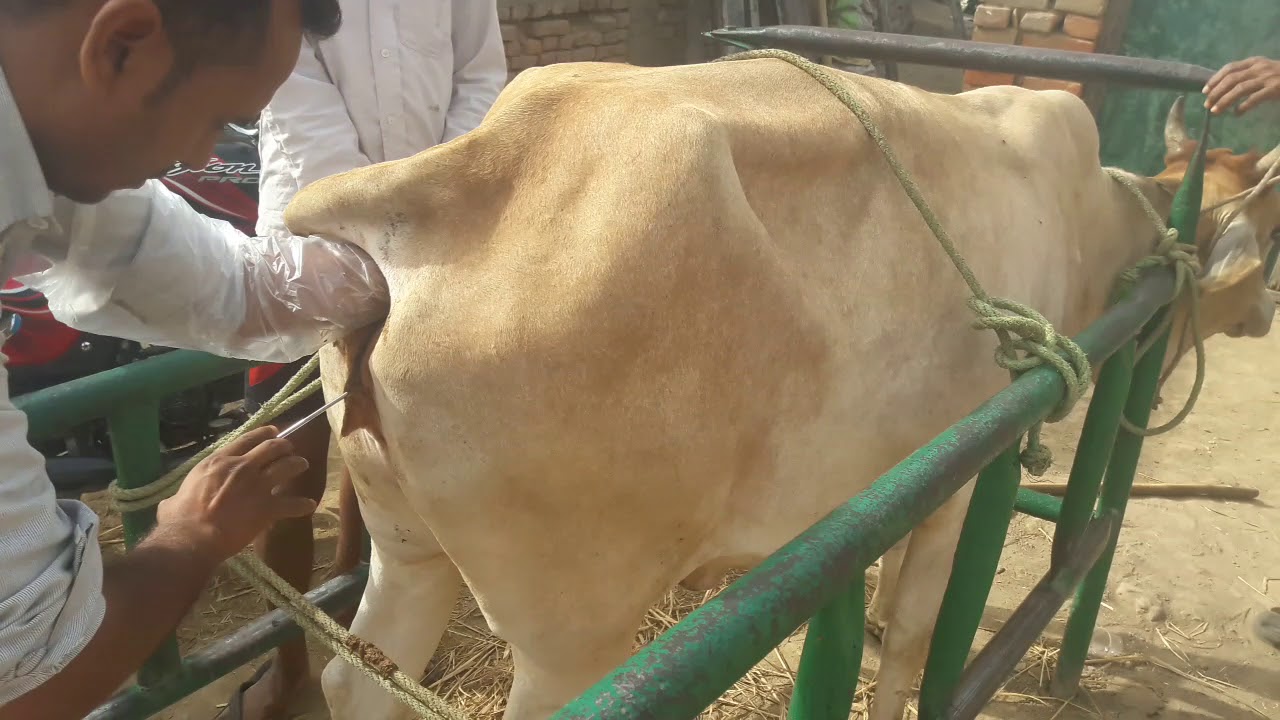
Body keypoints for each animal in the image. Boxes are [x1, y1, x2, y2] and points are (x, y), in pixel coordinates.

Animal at [283, 56, 1279, 720]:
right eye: (1267, 239)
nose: (1267, 310)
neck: (1081, 212)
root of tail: (440, 179)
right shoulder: (963, 476)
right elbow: (913, 637)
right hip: (570, 634)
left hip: (407, 551)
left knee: (358, 680)